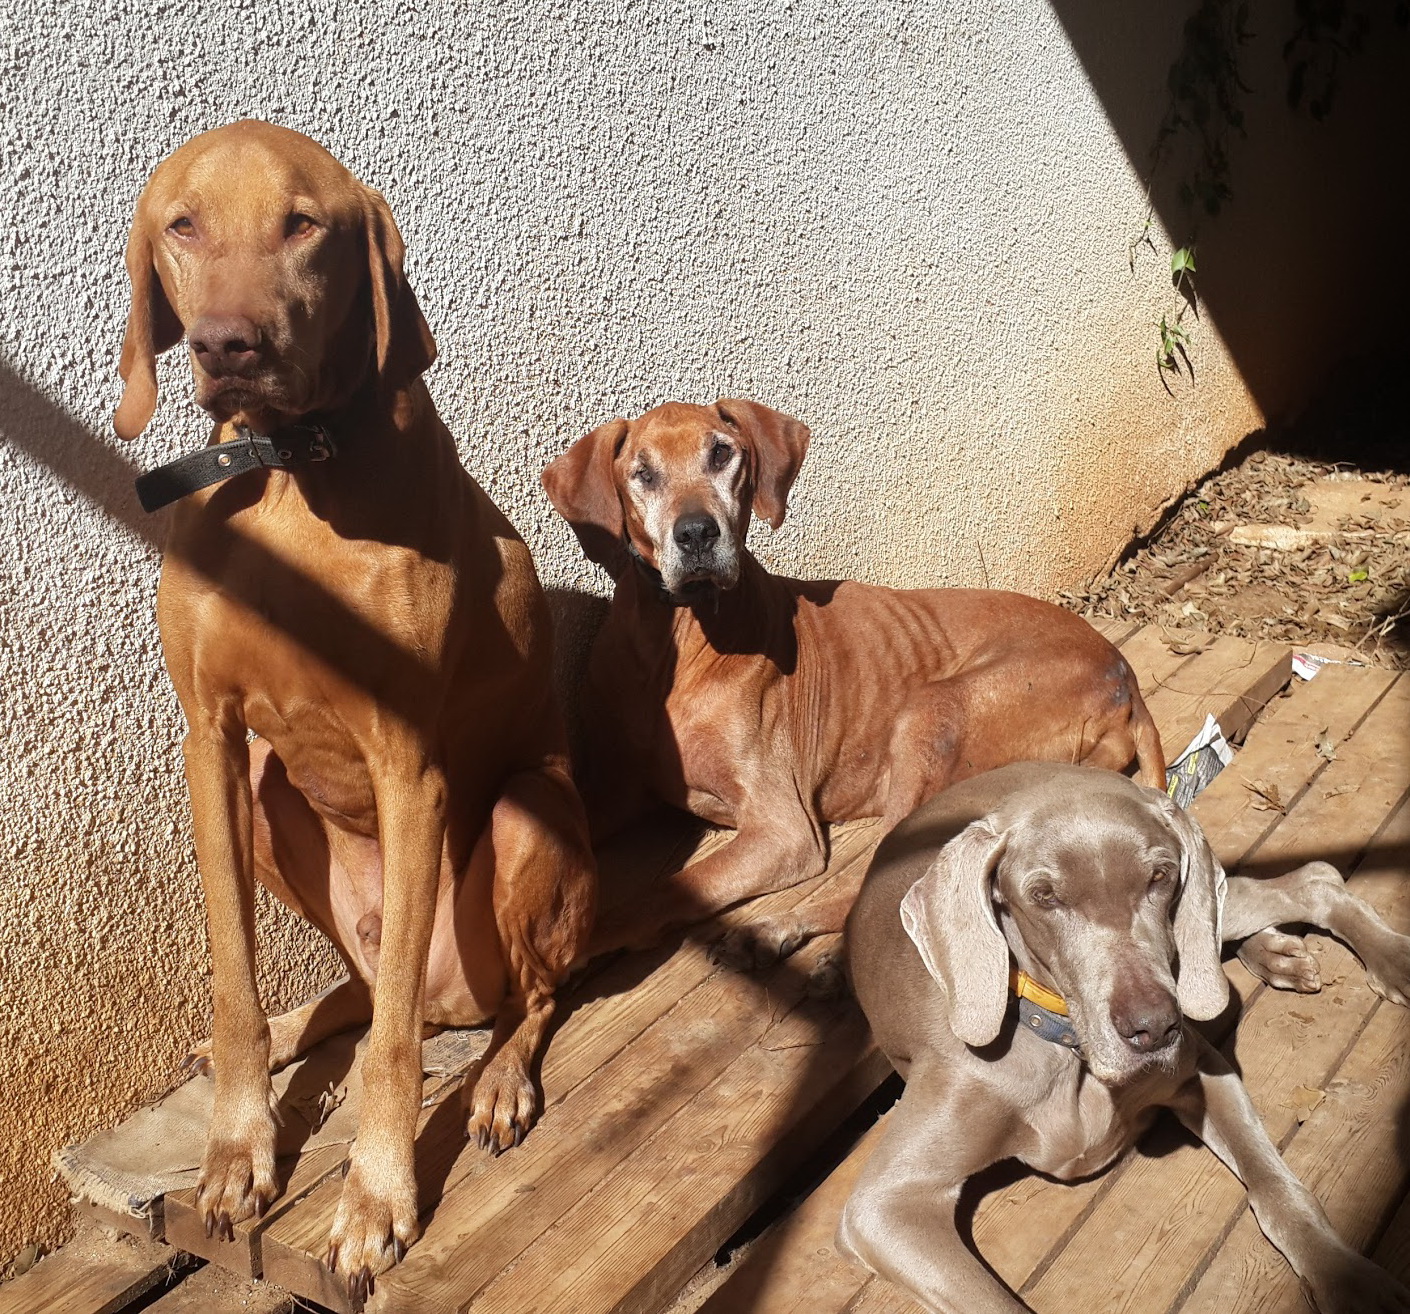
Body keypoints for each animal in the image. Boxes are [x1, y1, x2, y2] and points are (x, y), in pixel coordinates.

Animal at [115, 120, 595, 1294]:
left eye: (304, 225)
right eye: (182, 224)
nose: (229, 344)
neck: (290, 469)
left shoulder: (408, 766)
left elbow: (391, 1053)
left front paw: (377, 1197)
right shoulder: (211, 740)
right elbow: (233, 982)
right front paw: (238, 1143)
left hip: (526, 813)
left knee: (515, 1000)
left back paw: (499, 1080)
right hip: (274, 801)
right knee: (361, 988)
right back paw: (304, 1020)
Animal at [541, 400, 1165, 954]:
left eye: (721, 454)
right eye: (641, 473)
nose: (696, 534)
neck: (677, 637)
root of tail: (1126, 676)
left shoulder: (783, 831)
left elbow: (670, 889)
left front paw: (577, 945)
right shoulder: (613, 787)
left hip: (931, 711)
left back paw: (786, 930)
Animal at [838, 761, 1410, 1314]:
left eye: (1159, 876)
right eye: (1044, 896)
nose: (1155, 1028)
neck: (1066, 1049)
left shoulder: (1203, 1071)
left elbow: (1276, 1188)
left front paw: (1346, 1276)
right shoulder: (884, 1205)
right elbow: (995, 1303)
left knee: (1308, 881)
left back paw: (1387, 958)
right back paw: (1274, 954)